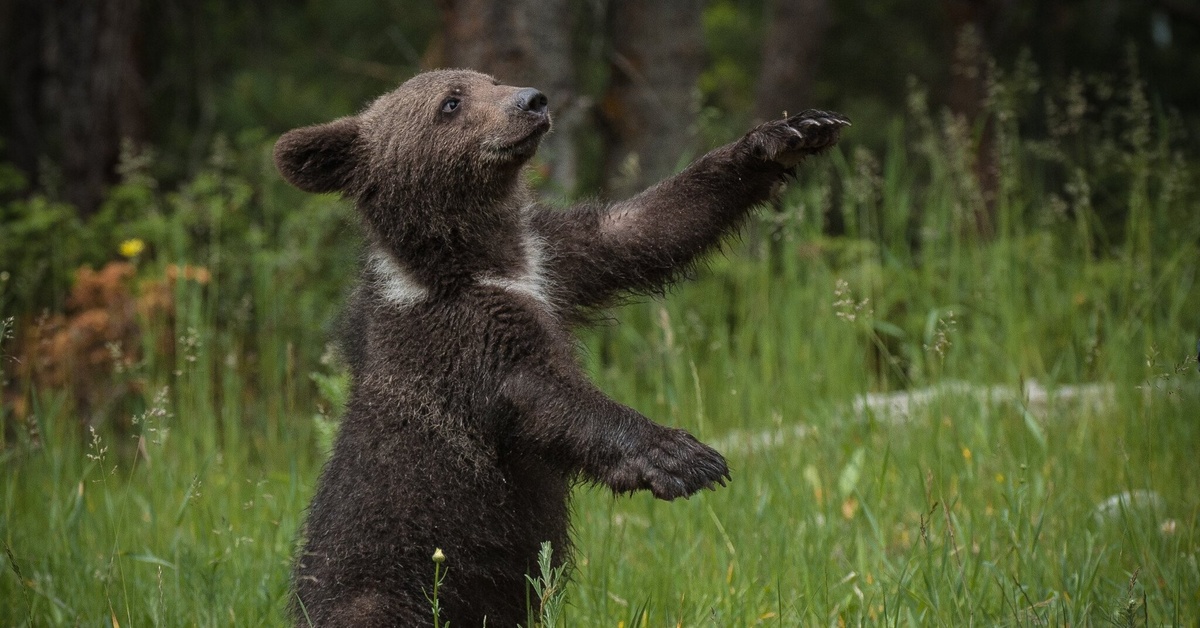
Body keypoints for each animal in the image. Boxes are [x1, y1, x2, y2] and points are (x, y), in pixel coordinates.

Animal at [276, 66, 849, 624]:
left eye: (489, 79)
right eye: (451, 102)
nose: (532, 100)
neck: (479, 259)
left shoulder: (554, 260)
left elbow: (645, 227)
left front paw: (791, 133)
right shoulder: (457, 335)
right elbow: (543, 393)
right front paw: (680, 456)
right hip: (387, 581)